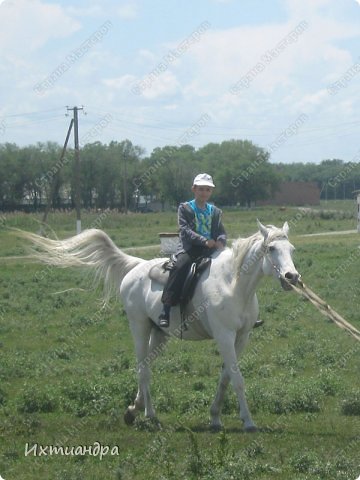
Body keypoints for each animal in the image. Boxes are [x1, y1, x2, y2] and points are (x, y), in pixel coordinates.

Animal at [24, 219, 298, 430]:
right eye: (271, 248)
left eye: (292, 249)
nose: (292, 277)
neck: (233, 285)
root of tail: (135, 267)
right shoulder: (224, 336)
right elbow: (237, 378)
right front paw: (248, 422)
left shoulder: (241, 338)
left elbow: (225, 378)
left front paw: (215, 418)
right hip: (139, 327)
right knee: (142, 369)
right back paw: (151, 416)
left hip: (159, 334)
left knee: (147, 368)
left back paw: (134, 410)